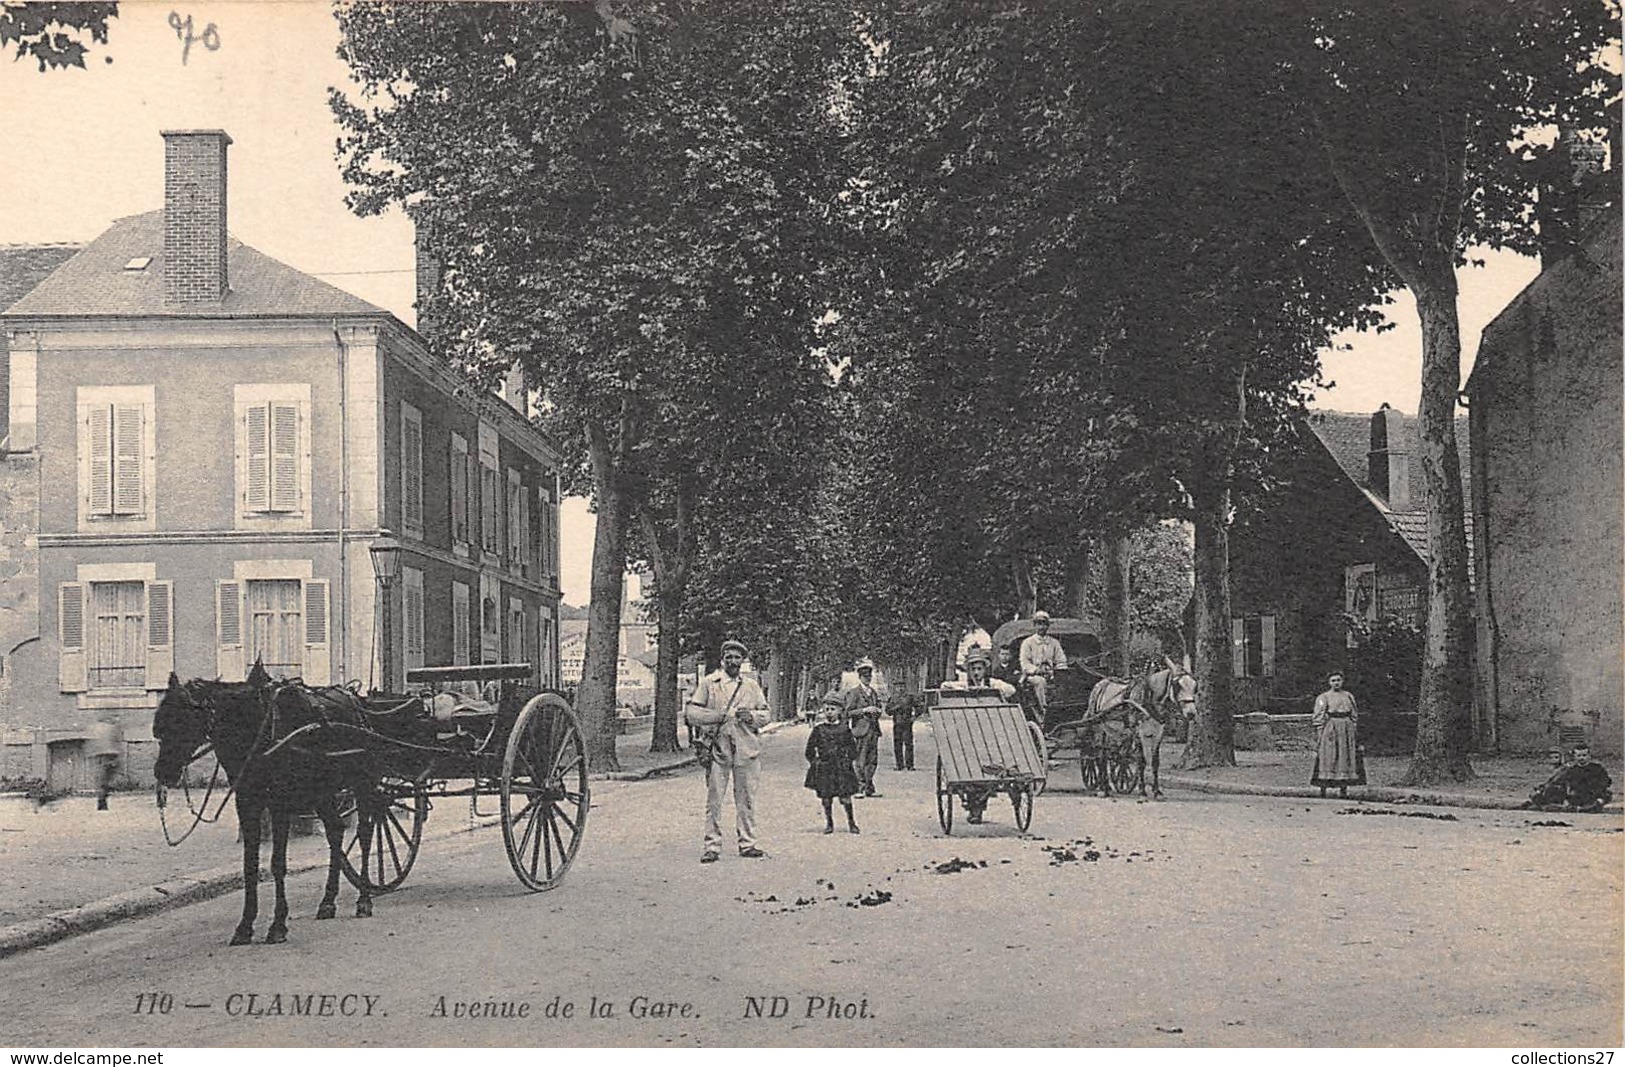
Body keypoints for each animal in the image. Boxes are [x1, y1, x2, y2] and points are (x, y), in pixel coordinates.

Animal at [157, 665, 386, 941]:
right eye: (159, 727)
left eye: (182, 721)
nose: (163, 773)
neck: (259, 729)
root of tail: (355, 698)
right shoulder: (247, 803)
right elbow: (250, 865)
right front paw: (245, 925)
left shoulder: (279, 803)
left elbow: (278, 863)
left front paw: (277, 925)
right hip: (322, 792)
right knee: (335, 831)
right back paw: (328, 901)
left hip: (363, 785)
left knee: (365, 835)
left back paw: (364, 898)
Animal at [1085, 652, 1202, 795]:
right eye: (1176, 685)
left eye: (1195, 685)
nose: (1191, 713)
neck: (1149, 698)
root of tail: (1100, 684)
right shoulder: (1138, 732)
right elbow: (1141, 760)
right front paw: (1142, 791)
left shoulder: (1158, 732)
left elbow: (1155, 761)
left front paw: (1156, 791)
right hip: (1098, 727)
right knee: (1100, 755)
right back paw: (1102, 788)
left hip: (1111, 730)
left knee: (1109, 754)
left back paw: (1107, 785)